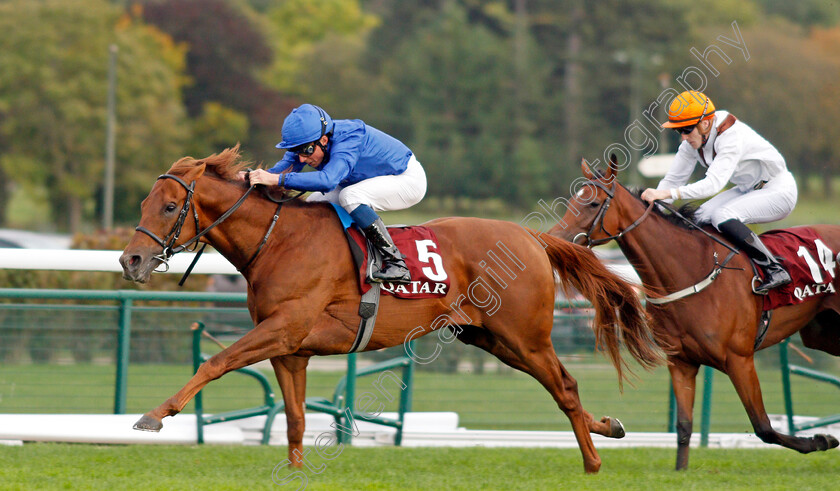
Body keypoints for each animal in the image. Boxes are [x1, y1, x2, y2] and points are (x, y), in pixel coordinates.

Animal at [120, 148, 668, 474]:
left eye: (169, 207)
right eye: (145, 202)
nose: (130, 260)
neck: (278, 239)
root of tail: (532, 236)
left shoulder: (284, 327)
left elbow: (215, 361)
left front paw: (153, 416)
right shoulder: (290, 347)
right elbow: (294, 417)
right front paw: (295, 470)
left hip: (525, 335)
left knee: (566, 387)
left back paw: (593, 461)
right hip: (491, 338)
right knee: (561, 386)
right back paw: (609, 427)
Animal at [552, 159, 840, 472]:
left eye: (592, 203)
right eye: (572, 200)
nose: (556, 239)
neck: (689, 270)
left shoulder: (740, 360)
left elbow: (763, 426)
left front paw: (821, 440)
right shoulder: (682, 362)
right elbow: (684, 427)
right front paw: (681, 470)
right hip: (823, 335)